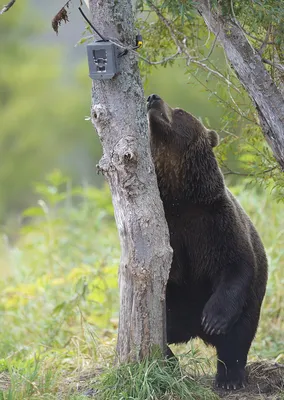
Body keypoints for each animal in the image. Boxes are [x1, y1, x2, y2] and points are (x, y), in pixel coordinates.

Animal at [148, 92, 268, 390]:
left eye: (180, 111)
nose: (152, 98)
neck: (182, 198)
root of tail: (194, 332)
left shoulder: (216, 223)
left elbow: (236, 266)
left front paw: (214, 319)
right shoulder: (172, 230)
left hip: (250, 305)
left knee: (237, 338)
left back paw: (229, 377)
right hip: (180, 312)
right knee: (165, 330)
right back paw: (169, 360)